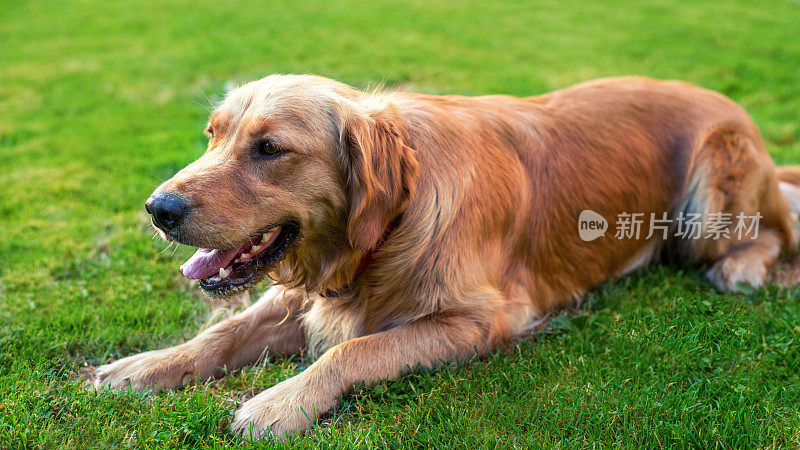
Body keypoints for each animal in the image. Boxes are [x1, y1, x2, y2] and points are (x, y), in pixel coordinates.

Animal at [94, 75, 800, 438]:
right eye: (213, 135)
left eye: (270, 149)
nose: (157, 208)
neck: (383, 234)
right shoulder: (305, 296)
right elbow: (220, 334)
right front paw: (140, 367)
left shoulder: (485, 319)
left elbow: (355, 349)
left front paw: (279, 403)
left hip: (709, 206)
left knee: (774, 231)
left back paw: (740, 268)